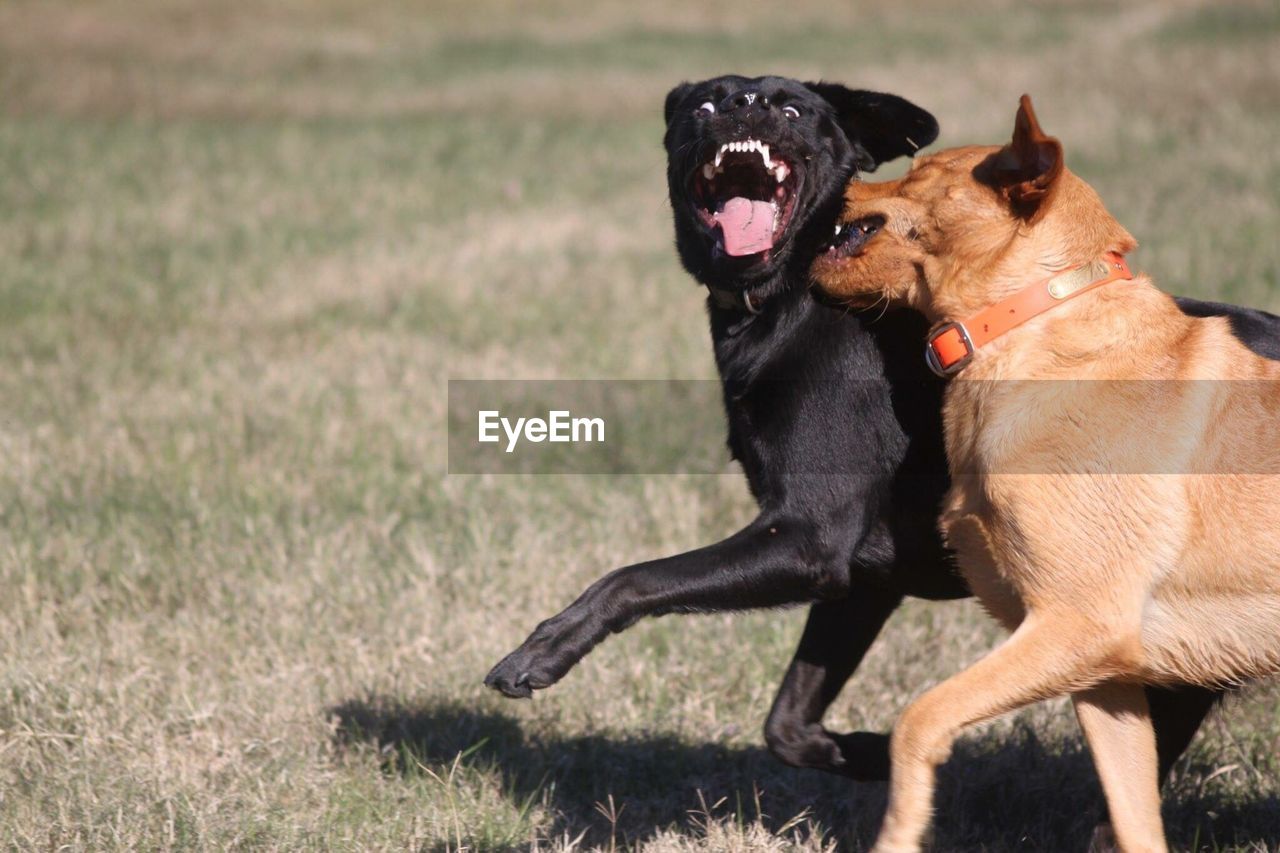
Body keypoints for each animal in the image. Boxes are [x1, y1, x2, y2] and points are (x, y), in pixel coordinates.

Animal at [486, 76, 1218, 778]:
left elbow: (631, 578)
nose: (744, 101)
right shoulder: (861, 578)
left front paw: (542, 650)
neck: (787, 300)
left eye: (792, 108)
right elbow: (786, 722)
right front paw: (862, 752)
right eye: (703, 104)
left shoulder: (809, 537)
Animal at [814, 94, 1280, 850]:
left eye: (922, 170)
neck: (1028, 322)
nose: (839, 181)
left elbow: (918, 720)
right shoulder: (1103, 677)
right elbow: (1133, 818)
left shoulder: (1077, 625)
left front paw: (900, 832)